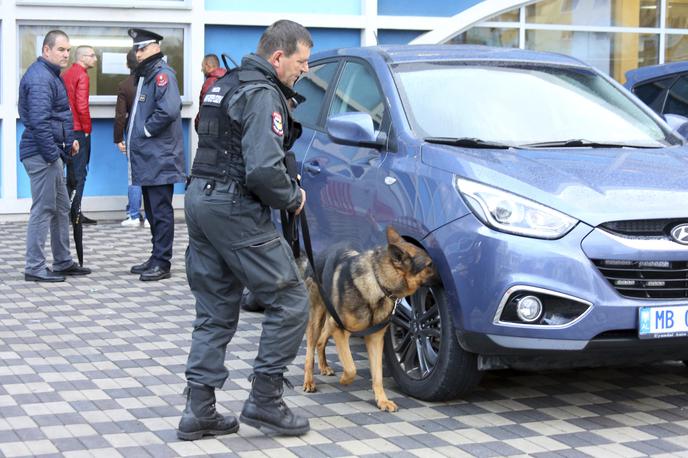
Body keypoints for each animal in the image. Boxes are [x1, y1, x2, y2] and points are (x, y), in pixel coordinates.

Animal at [300, 225, 436, 412]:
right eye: (429, 265)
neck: (378, 282)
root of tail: (317, 256)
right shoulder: (341, 330)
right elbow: (351, 367)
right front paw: (345, 380)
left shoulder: (375, 338)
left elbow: (377, 374)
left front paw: (382, 400)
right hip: (318, 319)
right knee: (310, 349)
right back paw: (309, 381)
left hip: (333, 322)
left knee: (321, 341)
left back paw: (324, 366)